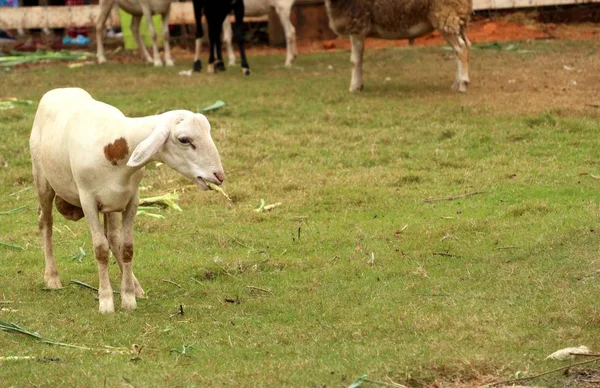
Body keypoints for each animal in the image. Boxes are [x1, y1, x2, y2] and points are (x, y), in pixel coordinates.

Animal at [29, 87, 225, 312]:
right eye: (184, 139)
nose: (219, 175)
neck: (115, 149)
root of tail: (60, 89)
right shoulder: (87, 200)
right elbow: (100, 249)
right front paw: (106, 302)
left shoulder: (131, 199)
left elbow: (127, 247)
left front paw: (129, 298)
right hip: (42, 178)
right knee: (46, 222)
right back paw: (52, 278)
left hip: (112, 203)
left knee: (113, 238)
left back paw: (136, 286)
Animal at [326, 0, 472, 92]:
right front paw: (359, 86)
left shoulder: (357, 25)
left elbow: (355, 61)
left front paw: (354, 87)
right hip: (455, 18)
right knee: (458, 50)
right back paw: (456, 83)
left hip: (445, 13)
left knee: (461, 48)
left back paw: (463, 84)